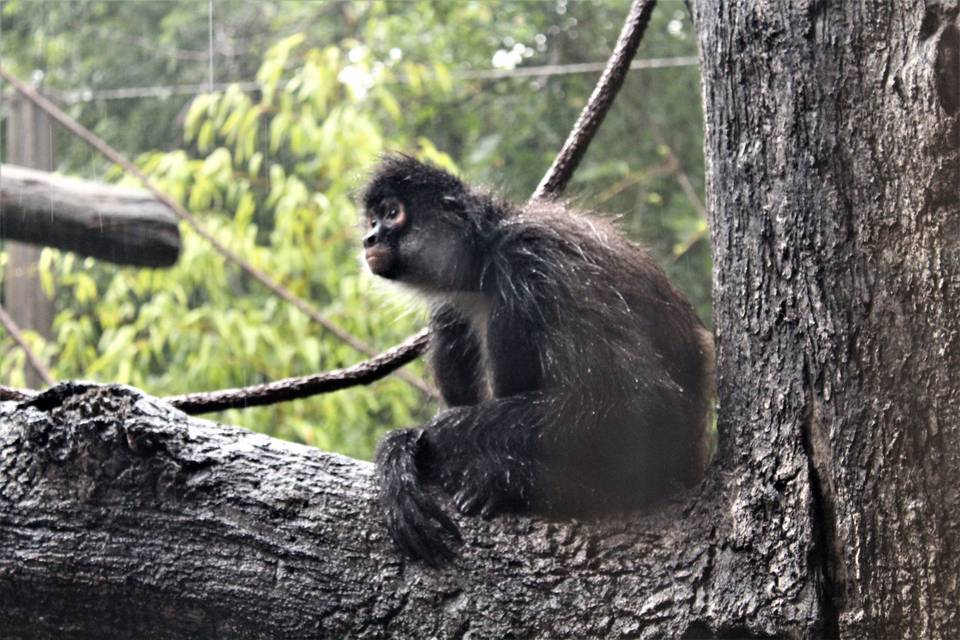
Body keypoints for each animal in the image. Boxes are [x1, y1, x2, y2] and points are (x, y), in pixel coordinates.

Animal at [360, 155, 712, 564]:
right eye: (372, 220)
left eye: (392, 213)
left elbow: (649, 406)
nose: (370, 238)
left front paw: (435, 438)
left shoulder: (533, 258)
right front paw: (402, 451)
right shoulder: (453, 303)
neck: (486, 257)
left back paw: (508, 481)